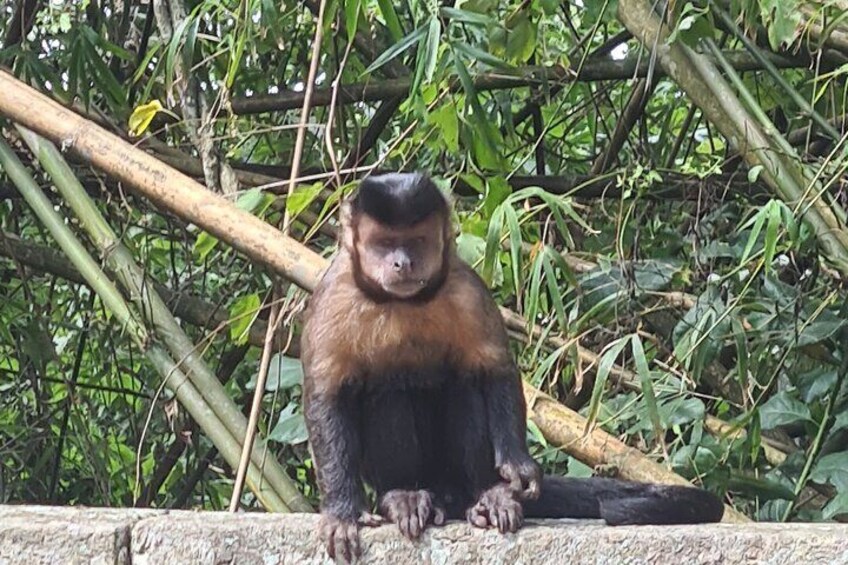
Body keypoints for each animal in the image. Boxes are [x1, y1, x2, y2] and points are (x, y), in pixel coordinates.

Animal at [300, 172, 724, 560]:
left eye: (417, 240)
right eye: (384, 243)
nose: (402, 262)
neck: (403, 301)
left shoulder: (465, 286)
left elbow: (495, 370)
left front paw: (517, 468)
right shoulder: (333, 294)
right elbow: (325, 395)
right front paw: (342, 511)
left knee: (464, 384)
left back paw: (486, 495)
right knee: (386, 389)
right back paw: (403, 495)